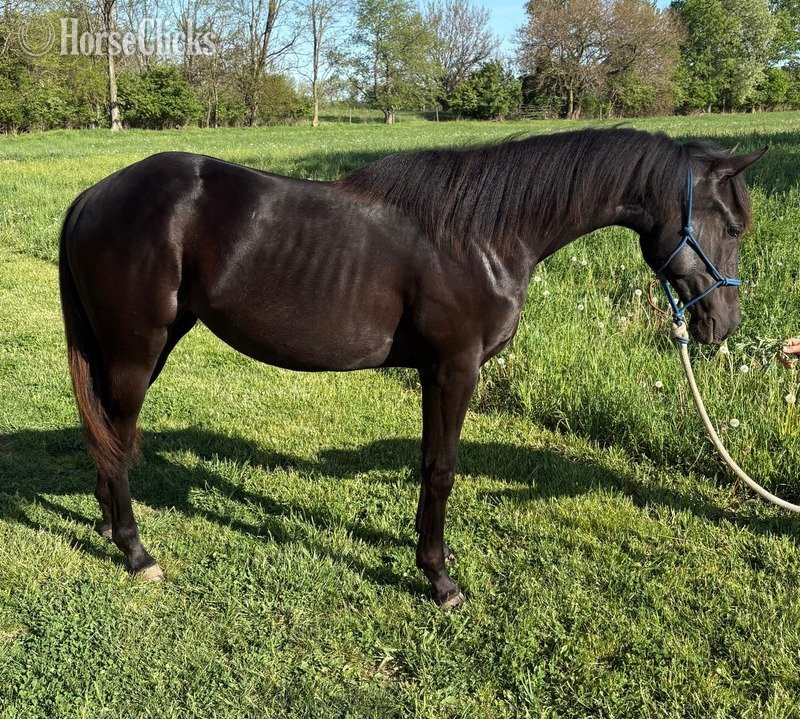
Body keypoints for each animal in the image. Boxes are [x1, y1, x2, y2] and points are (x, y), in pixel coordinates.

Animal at [59, 128, 766, 608]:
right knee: (117, 435)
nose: (723, 325)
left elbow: (430, 465)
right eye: (731, 224)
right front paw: (440, 577)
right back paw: (136, 551)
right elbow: (442, 469)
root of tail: (93, 195)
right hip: (136, 351)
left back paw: (110, 527)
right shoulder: (453, 370)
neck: (484, 237)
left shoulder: (437, 373)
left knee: (107, 436)